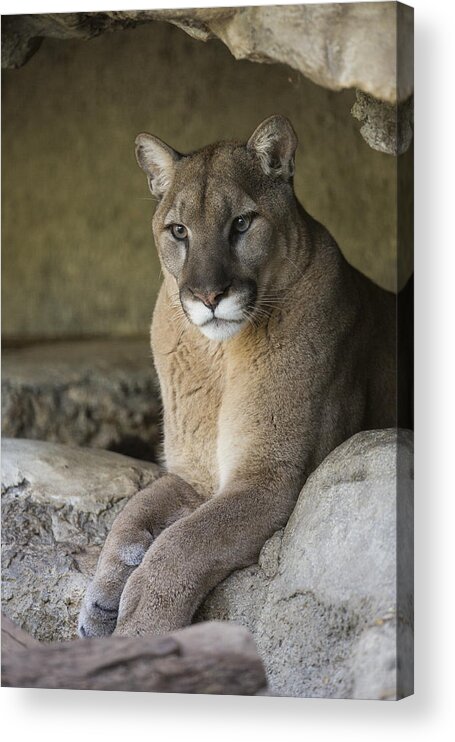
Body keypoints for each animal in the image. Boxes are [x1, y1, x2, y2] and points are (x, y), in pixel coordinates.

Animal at [78, 115, 400, 640]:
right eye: (179, 231)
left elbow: (183, 544)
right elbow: (132, 513)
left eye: (242, 224)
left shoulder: (270, 477)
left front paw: (141, 631)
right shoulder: (193, 472)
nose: (209, 295)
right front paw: (101, 602)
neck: (218, 357)